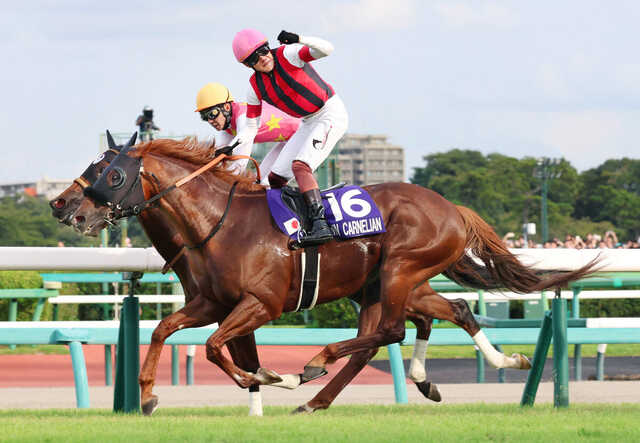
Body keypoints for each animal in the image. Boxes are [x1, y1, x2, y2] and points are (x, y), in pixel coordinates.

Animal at [71, 138, 598, 414]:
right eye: (93, 169)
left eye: (113, 175)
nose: (70, 210)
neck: (218, 223)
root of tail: (451, 208)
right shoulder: (211, 303)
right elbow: (164, 330)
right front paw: (147, 394)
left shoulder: (260, 303)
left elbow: (216, 347)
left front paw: (270, 375)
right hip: (391, 283)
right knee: (445, 313)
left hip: (401, 270)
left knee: (392, 330)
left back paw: (316, 364)